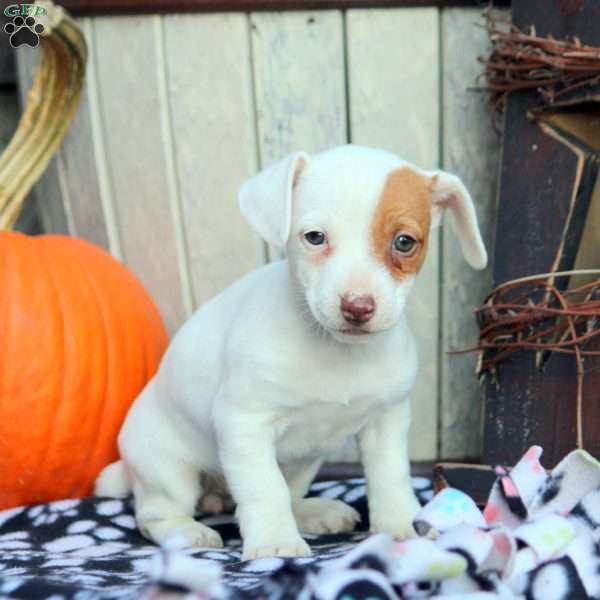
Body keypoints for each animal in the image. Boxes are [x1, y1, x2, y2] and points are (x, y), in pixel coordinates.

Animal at [95, 145, 488, 564]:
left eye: (404, 242)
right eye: (314, 237)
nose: (357, 306)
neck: (336, 351)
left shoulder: (387, 421)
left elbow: (391, 476)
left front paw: (402, 524)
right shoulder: (245, 425)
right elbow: (265, 490)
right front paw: (273, 543)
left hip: (303, 464)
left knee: (290, 493)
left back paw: (316, 511)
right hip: (168, 471)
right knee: (155, 514)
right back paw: (187, 533)